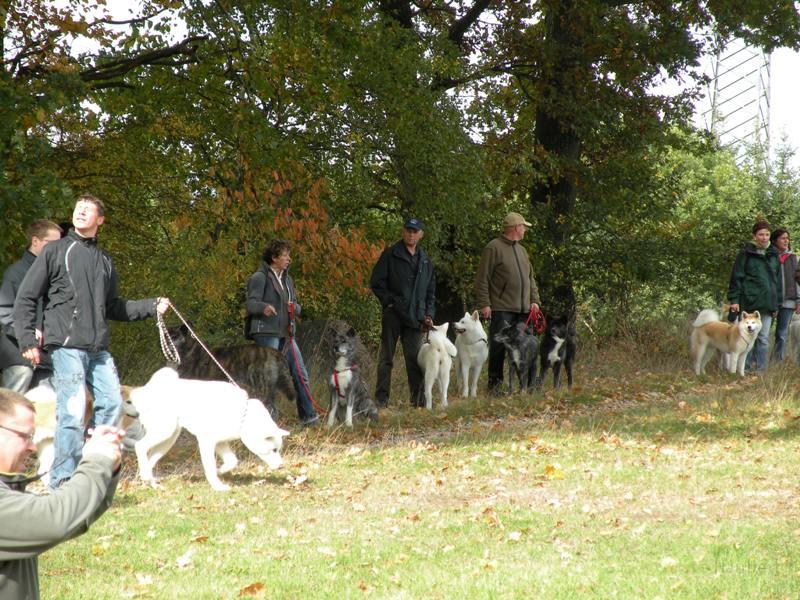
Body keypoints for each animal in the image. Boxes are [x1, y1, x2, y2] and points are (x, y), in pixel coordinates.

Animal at [125, 366, 288, 492]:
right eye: (274, 450)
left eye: (278, 450)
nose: (281, 466)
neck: (243, 415)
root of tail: (146, 391)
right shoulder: (206, 442)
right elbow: (210, 467)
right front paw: (217, 486)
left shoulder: (221, 442)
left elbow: (232, 461)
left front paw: (220, 471)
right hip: (164, 432)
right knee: (140, 447)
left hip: (168, 439)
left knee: (149, 459)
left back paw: (150, 482)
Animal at [167, 326, 296, 420]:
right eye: (166, 335)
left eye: (175, 336)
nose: (168, 344)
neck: (187, 350)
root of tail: (274, 351)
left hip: (261, 388)